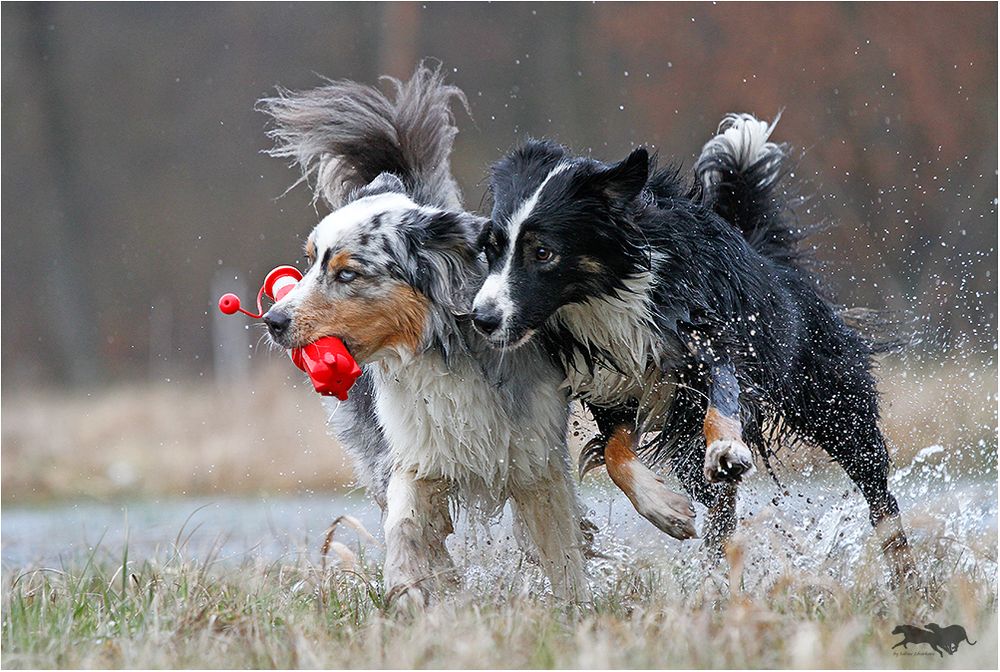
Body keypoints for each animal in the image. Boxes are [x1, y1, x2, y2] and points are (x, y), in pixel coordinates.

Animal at [472, 113, 916, 584]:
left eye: (543, 252)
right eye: (491, 248)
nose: (481, 319)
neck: (607, 296)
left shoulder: (711, 345)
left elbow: (720, 408)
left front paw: (725, 450)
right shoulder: (609, 390)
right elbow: (614, 455)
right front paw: (665, 510)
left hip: (835, 405)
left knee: (879, 495)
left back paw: (908, 577)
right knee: (722, 509)